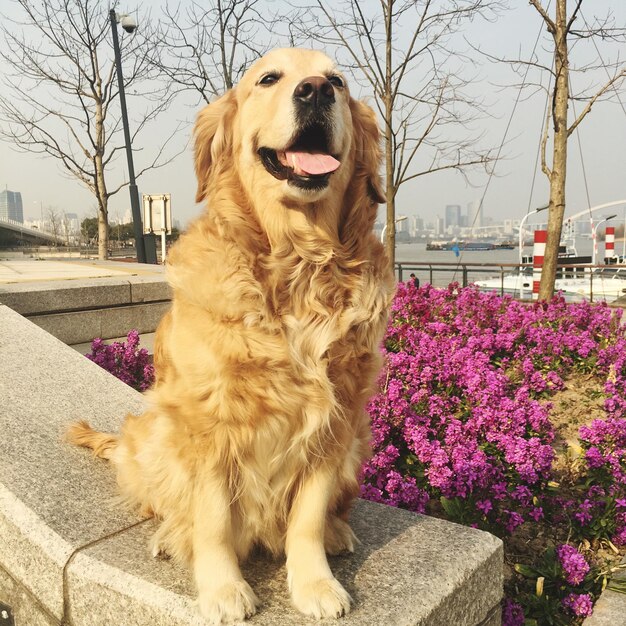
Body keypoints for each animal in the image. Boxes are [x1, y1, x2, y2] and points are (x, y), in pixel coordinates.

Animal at [67, 50, 390, 624]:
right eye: (269, 78)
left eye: (337, 81)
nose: (315, 90)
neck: (298, 266)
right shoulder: (208, 422)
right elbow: (214, 520)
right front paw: (222, 589)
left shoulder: (336, 419)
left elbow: (307, 516)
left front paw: (314, 583)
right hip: (155, 435)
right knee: (168, 503)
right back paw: (172, 537)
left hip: (359, 443)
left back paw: (337, 531)